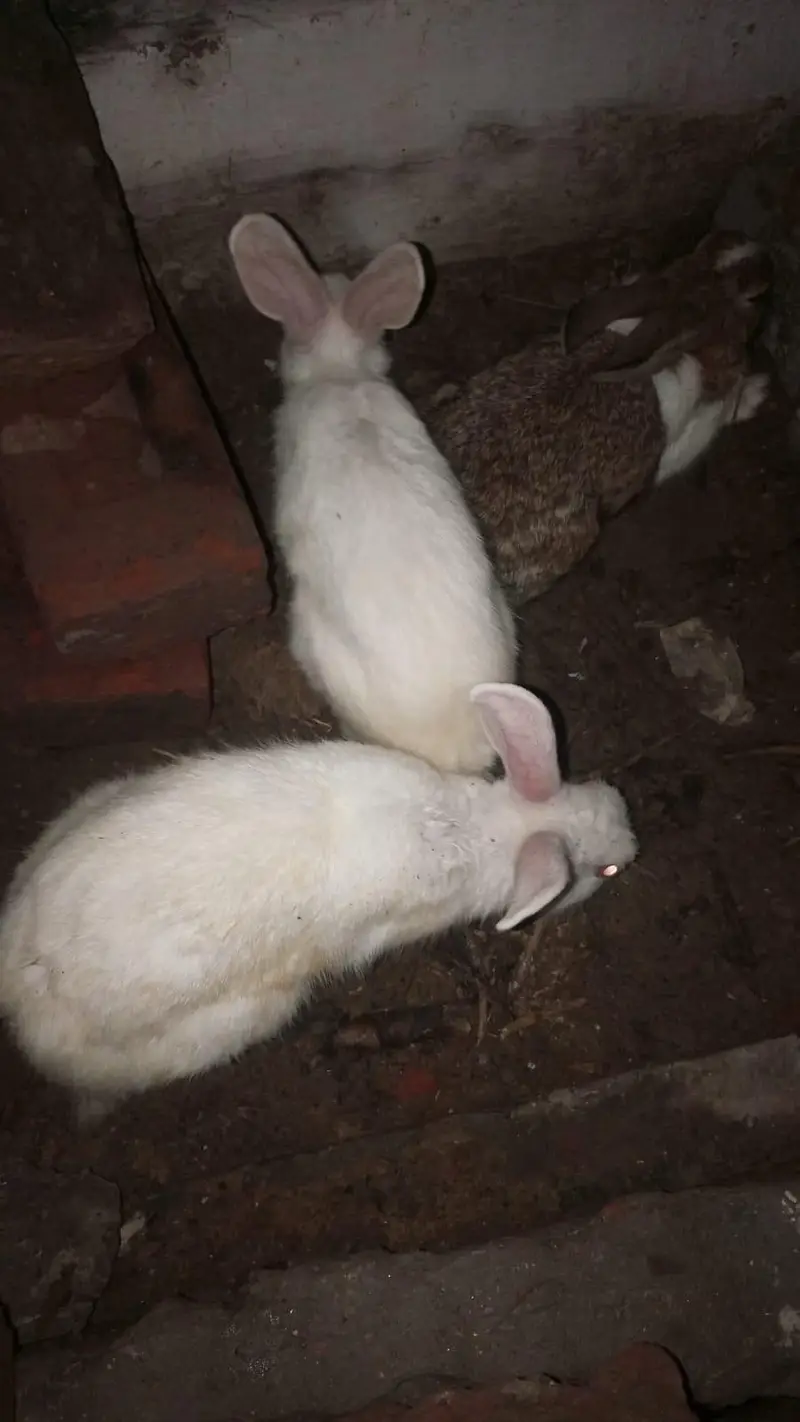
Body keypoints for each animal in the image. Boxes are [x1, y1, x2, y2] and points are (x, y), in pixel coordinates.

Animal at [427, 230, 773, 608]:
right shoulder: (679, 446)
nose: (760, 251)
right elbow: (721, 415)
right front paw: (757, 391)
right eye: (753, 297)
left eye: (705, 246)